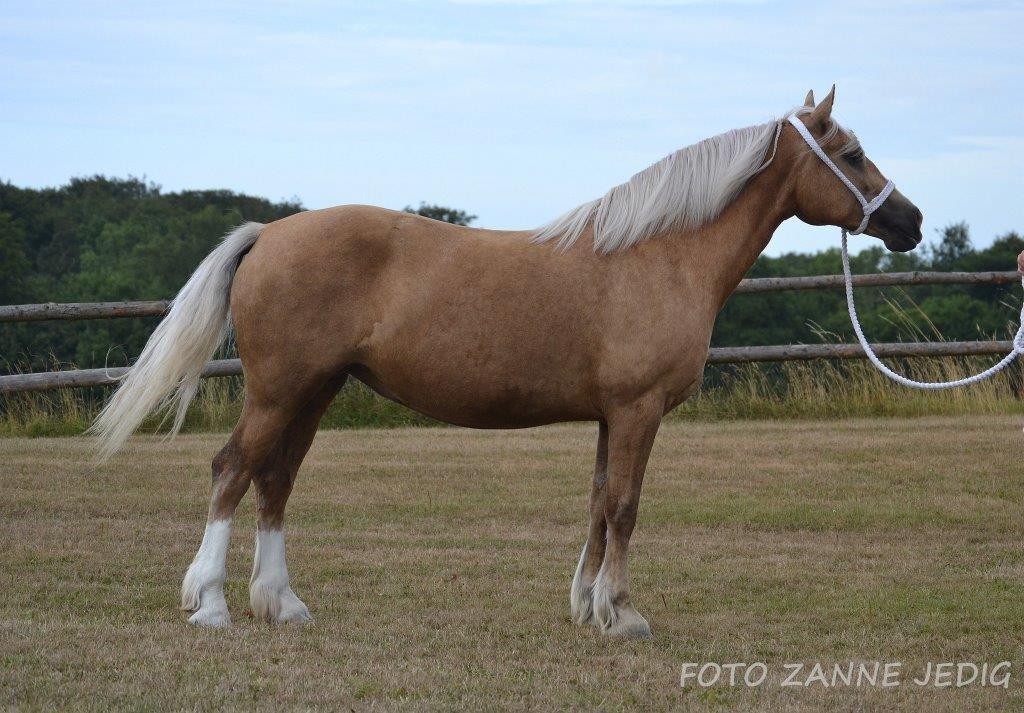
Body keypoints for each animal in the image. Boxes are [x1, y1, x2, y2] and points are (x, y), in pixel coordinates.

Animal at [92, 86, 921, 639]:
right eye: (851, 155)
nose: (910, 221)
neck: (660, 255)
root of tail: (269, 233)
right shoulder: (638, 410)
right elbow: (625, 505)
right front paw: (624, 614)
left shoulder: (609, 416)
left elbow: (597, 502)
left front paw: (588, 605)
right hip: (279, 390)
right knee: (232, 470)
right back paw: (211, 602)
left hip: (313, 392)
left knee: (275, 480)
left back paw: (282, 602)